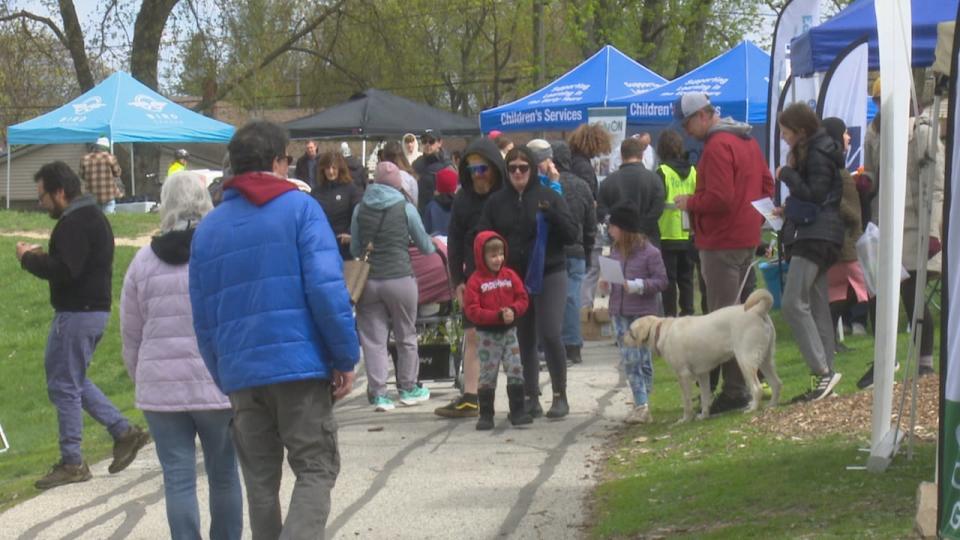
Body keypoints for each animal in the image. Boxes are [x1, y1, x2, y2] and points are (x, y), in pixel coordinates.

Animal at [624, 292, 780, 422]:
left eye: (630, 331)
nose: (621, 338)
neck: (659, 330)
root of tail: (757, 310)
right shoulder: (703, 374)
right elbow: (705, 397)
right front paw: (704, 416)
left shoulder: (683, 375)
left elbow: (686, 401)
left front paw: (685, 420)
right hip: (765, 361)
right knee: (777, 383)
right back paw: (772, 405)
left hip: (745, 361)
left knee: (757, 388)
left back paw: (752, 408)